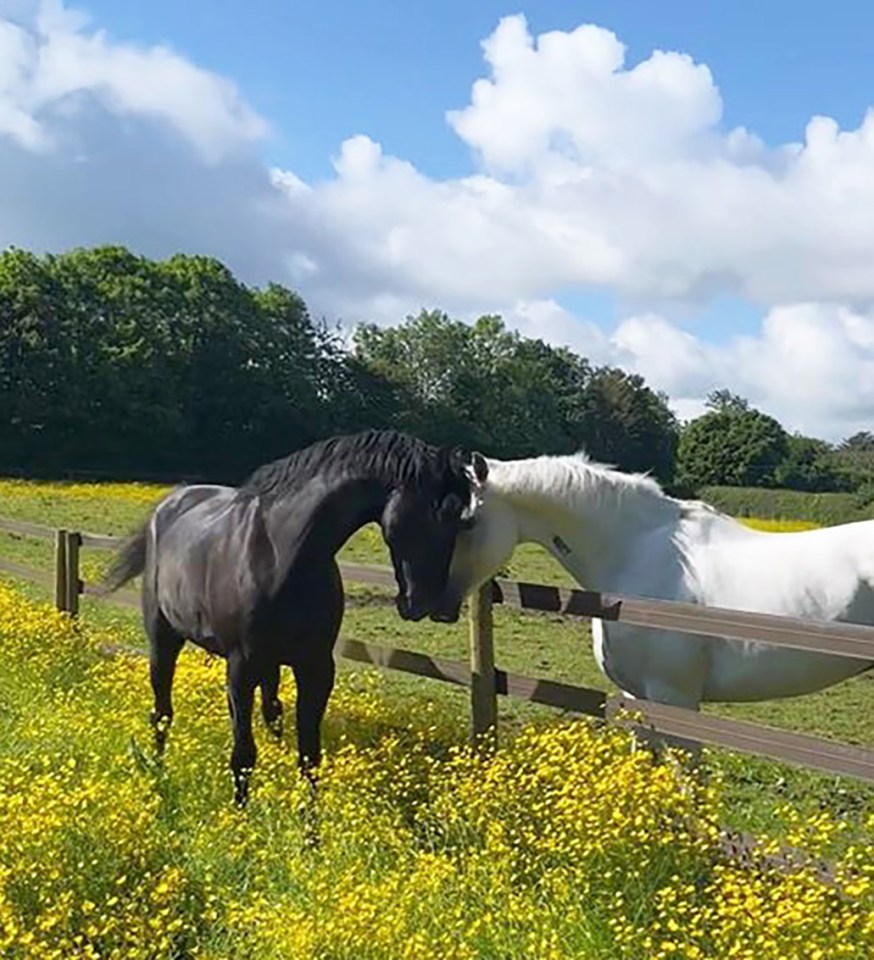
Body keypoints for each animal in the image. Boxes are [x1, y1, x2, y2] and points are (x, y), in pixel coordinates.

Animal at [104, 432, 484, 808]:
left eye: (462, 521)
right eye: (433, 513)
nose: (429, 604)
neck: (281, 553)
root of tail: (168, 505)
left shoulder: (315, 667)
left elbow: (309, 757)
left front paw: (309, 825)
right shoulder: (241, 667)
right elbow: (243, 755)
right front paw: (241, 819)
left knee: (270, 712)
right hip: (164, 641)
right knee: (162, 714)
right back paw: (157, 774)